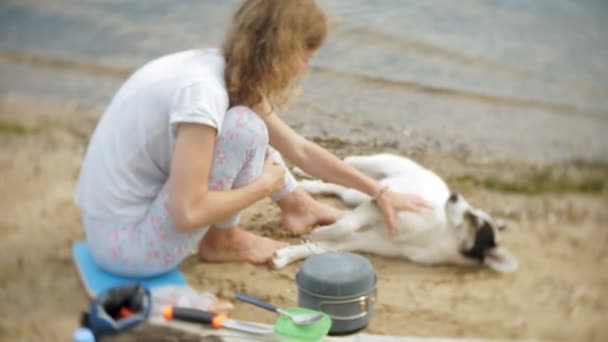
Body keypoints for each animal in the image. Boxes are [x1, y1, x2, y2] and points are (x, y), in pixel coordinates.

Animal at [274, 152, 516, 272]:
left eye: (472, 219)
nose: (454, 195)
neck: (438, 235)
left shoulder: (363, 240)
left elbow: (317, 248)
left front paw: (286, 255)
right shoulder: (379, 206)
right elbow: (344, 225)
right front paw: (320, 232)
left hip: (361, 194)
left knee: (340, 186)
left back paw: (308, 186)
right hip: (374, 168)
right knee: (343, 162)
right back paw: (300, 170)